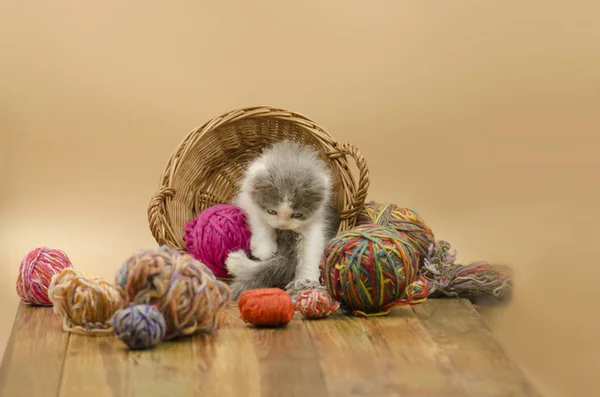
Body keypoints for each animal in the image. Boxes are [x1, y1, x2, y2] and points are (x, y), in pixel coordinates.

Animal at [225, 141, 340, 298]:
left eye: (297, 215)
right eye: (272, 211)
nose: (283, 225)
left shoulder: (317, 220)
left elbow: (311, 248)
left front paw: (307, 281)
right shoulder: (247, 199)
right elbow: (259, 219)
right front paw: (264, 248)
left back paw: (235, 261)